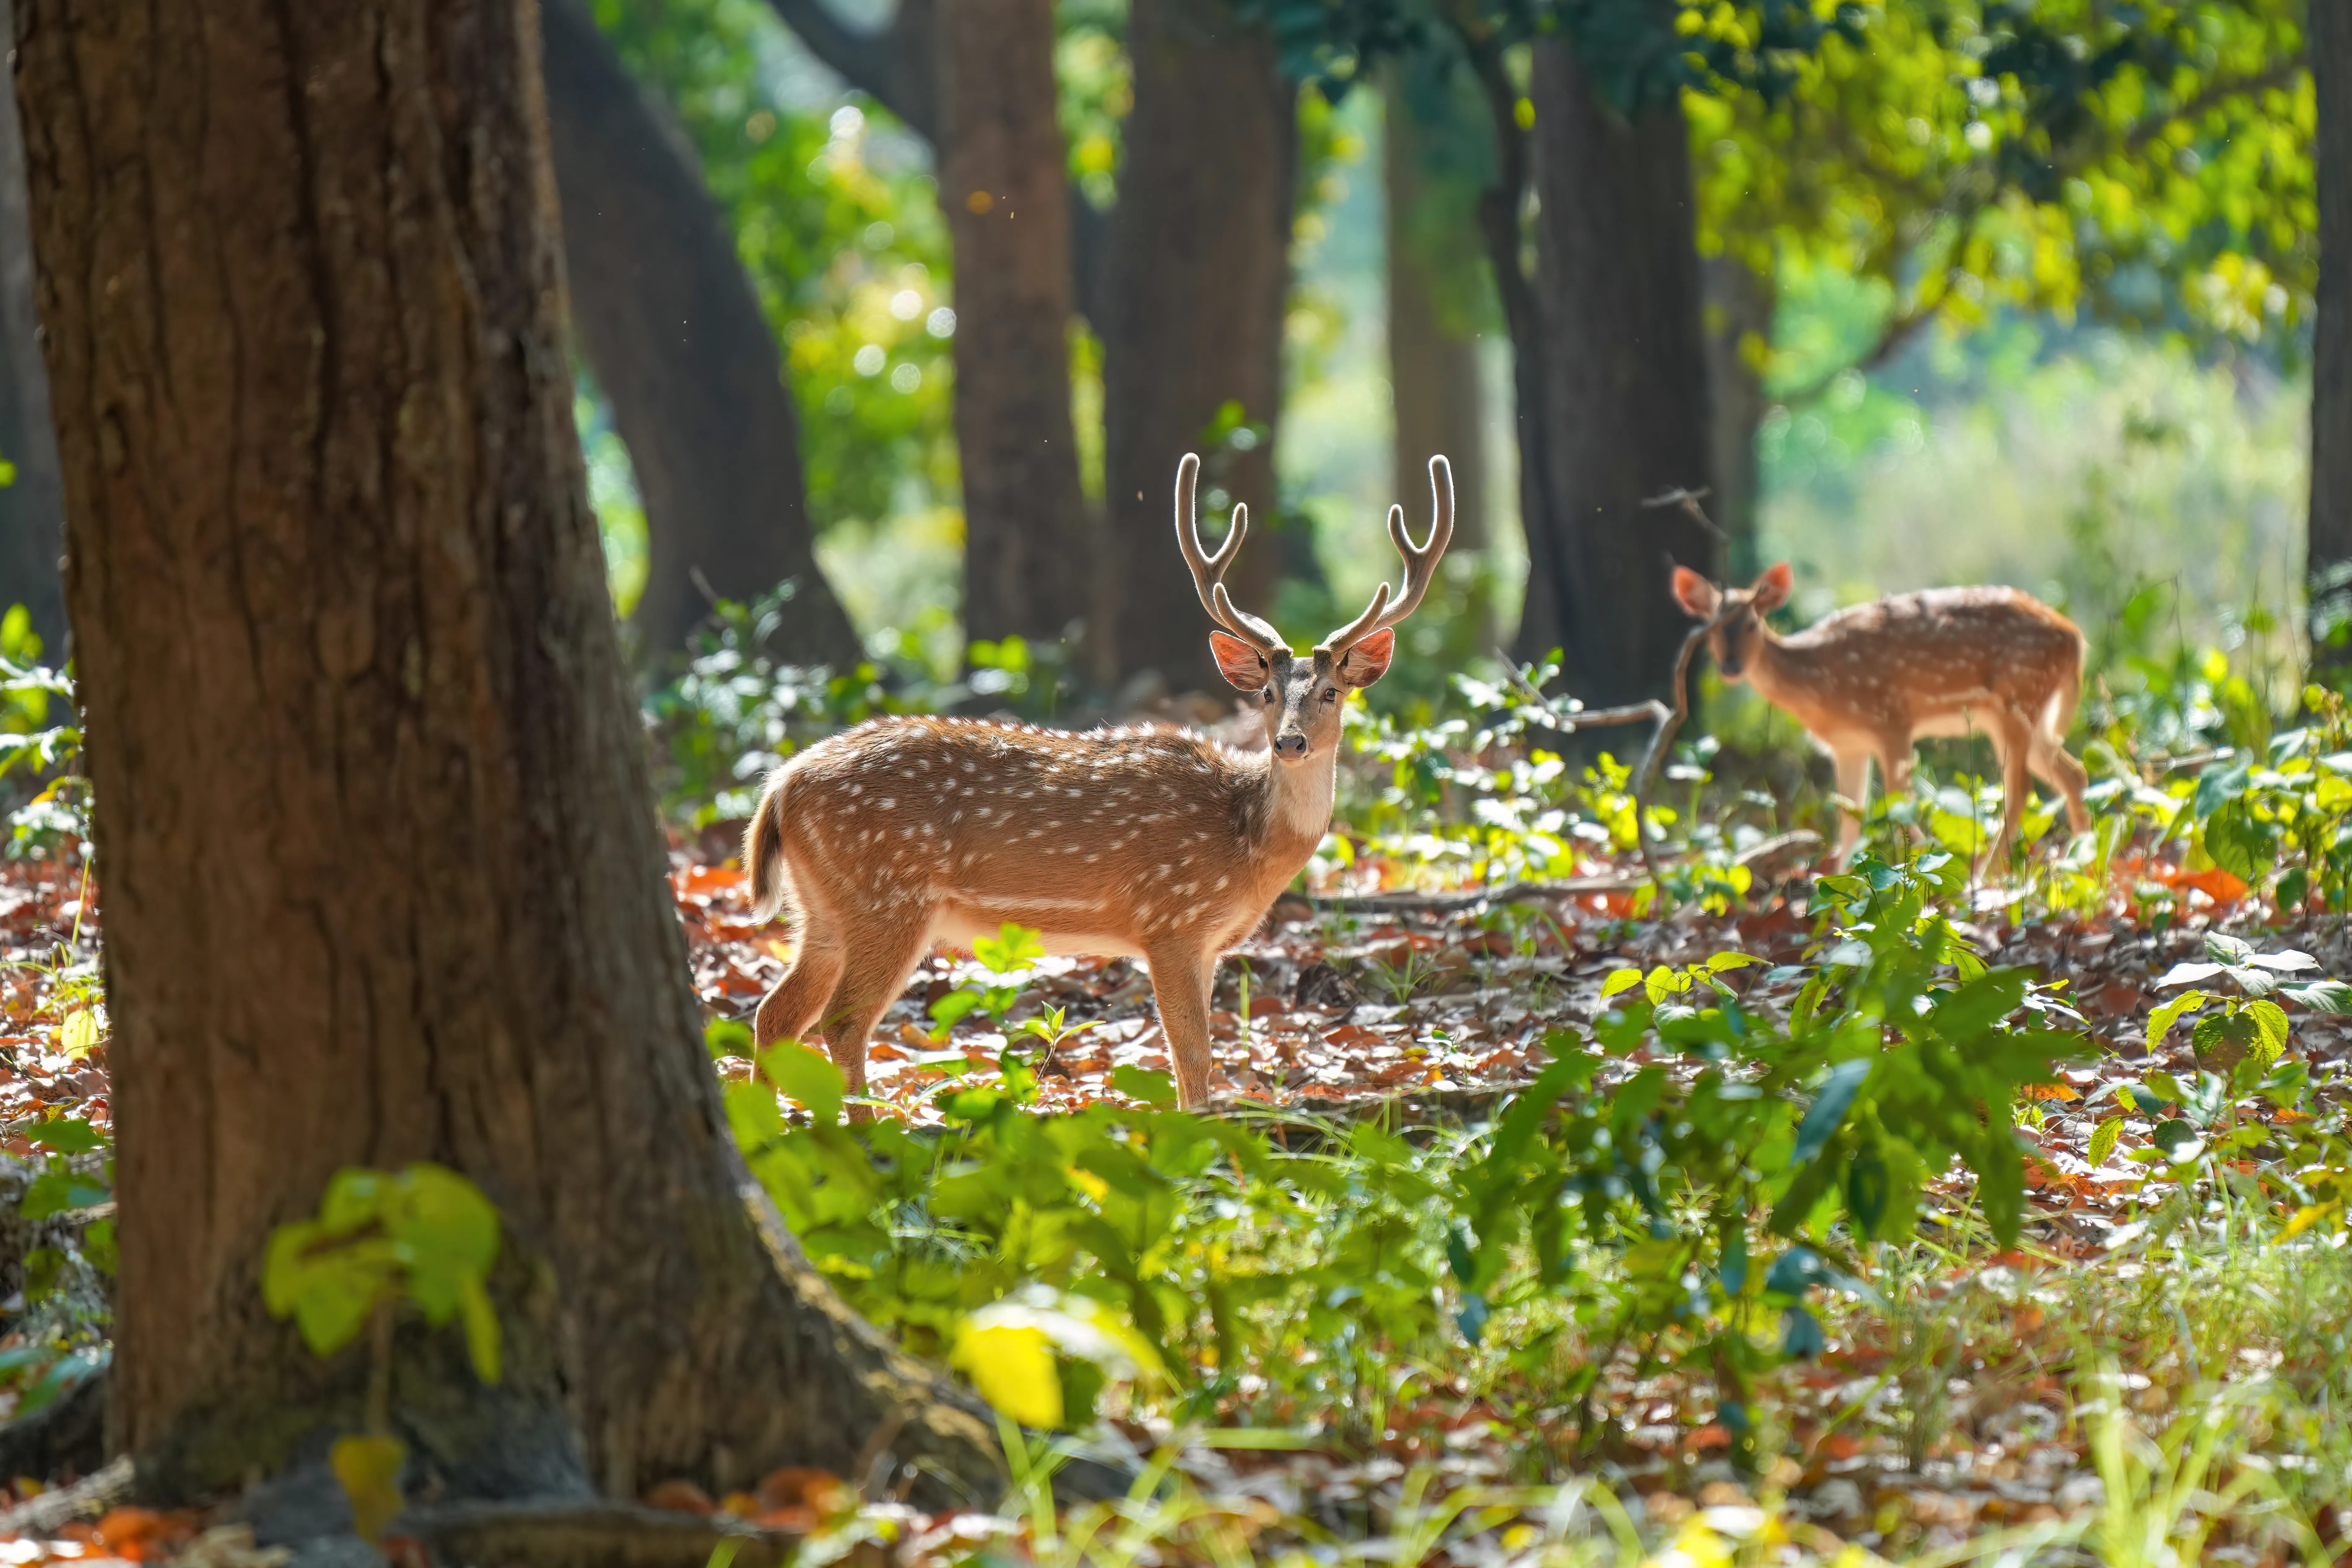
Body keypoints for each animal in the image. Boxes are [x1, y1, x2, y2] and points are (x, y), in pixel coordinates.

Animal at [743, 452, 1454, 1110]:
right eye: (1268, 694)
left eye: (1332, 692)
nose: (1290, 742)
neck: (1248, 845)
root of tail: (780, 785)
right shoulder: (1170, 919)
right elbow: (1193, 1056)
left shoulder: (1208, 943)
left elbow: (1196, 1059)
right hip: (887, 896)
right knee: (842, 1023)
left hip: (824, 907)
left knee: (775, 1014)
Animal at [1670, 562, 2091, 872]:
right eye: (1710, 631)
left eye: (1753, 624)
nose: (1731, 667)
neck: (1820, 690)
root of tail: (2076, 638)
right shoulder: (1847, 745)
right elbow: (1850, 820)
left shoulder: (1892, 721)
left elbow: (1898, 805)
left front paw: (1931, 877)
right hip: (2018, 715)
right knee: (2073, 774)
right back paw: (2084, 867)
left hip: (2019, 698)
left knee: (2020, 788)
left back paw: (1989, 877)